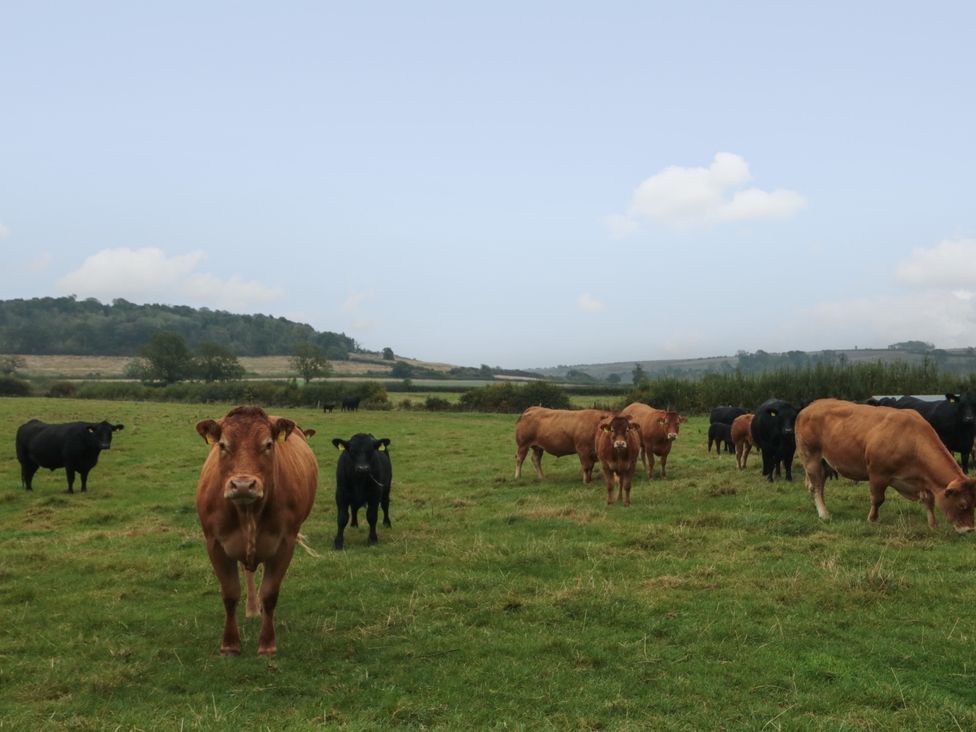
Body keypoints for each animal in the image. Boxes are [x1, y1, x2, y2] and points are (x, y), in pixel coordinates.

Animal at [196, 406, 318, 656]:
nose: (243, 485)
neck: (247, 512)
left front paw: (267, 644)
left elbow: (270, 593)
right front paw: (230, 644)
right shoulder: (214, 544)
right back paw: (252, 609)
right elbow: (230, 593)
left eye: (268, 444)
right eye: (222, 444)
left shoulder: (284, 544)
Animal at [792, 400, 976, 532]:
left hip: (824, 464)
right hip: (811, 460)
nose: (969, 529)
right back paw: (824, 514)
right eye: (962, 505)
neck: (912, 440)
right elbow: (878, 499)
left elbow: (929, 501)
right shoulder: (877, 474)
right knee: (816, 487)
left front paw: (933, 525)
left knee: (819, 486)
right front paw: (872, 519)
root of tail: (810, 407)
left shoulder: (922, 481)